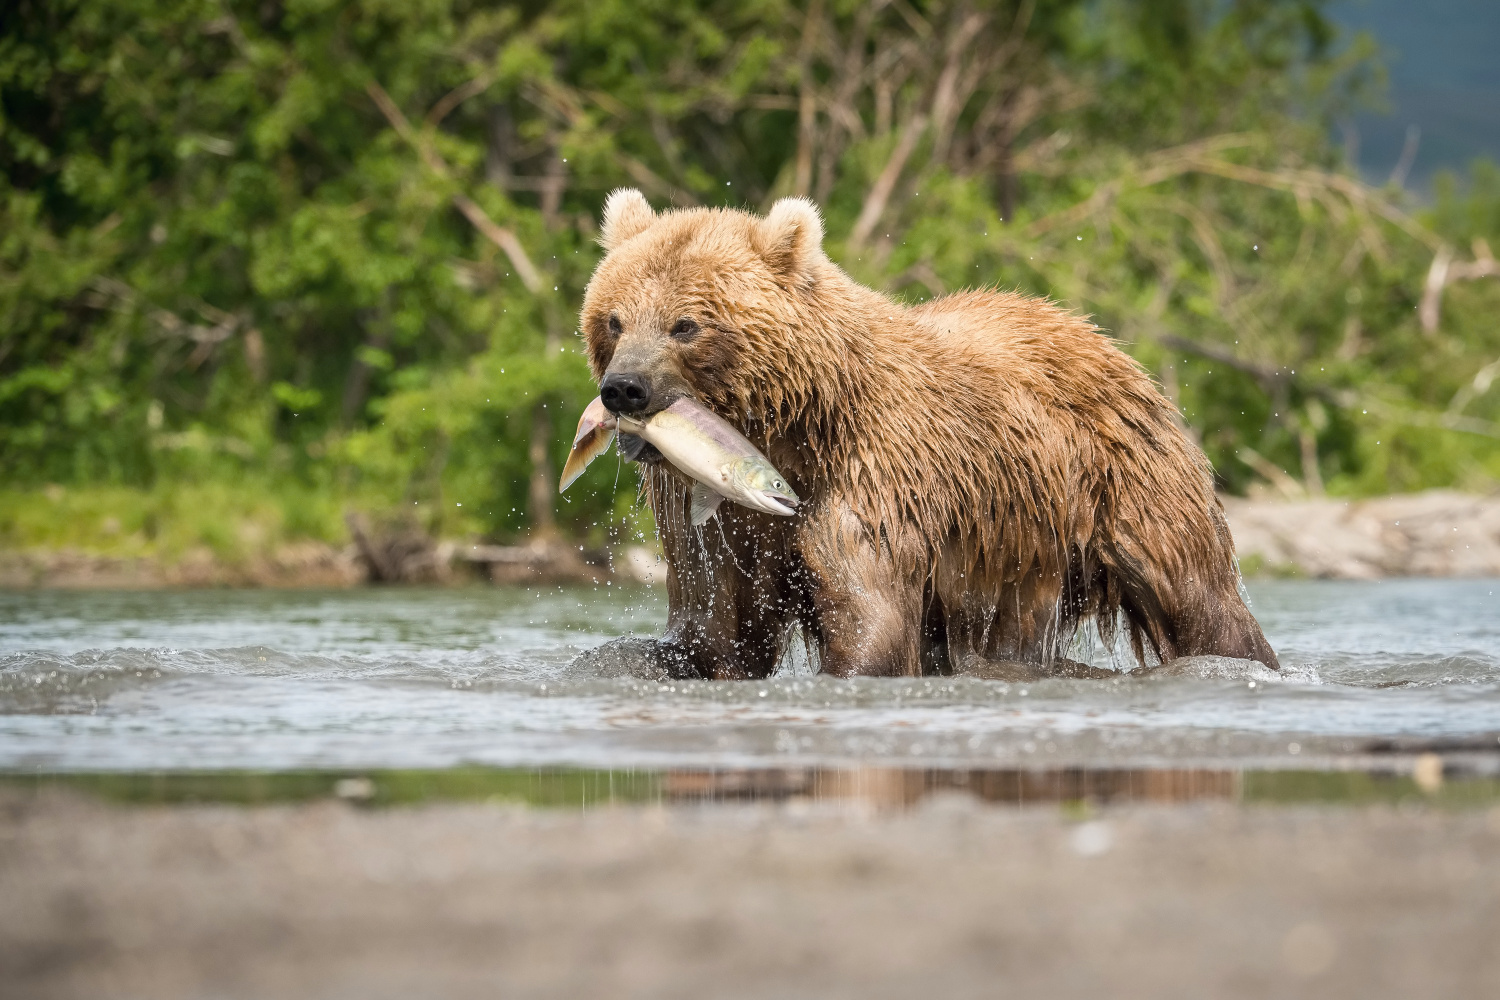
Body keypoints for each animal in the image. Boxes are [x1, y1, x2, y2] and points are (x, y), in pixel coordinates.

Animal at [573, 187, 1278, 680]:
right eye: (614, 318)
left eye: (685, 325)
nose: (624, 388)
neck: (788, 425)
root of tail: (1100, 336)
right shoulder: (720, 522)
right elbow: (715, 623)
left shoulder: (873, 474)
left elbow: (868, 615)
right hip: (1020, 547)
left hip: (1125, 482)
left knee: (1197, 594)